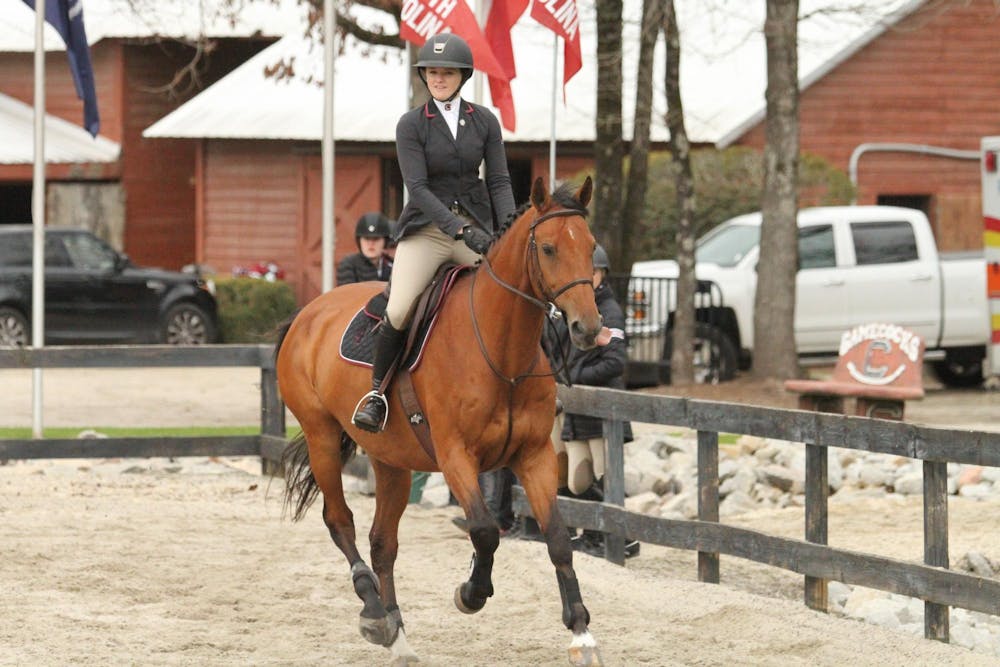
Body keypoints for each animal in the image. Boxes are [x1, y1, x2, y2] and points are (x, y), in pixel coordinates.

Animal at [274, 177, 600, 667]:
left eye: (591, 247)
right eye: (547, 248)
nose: (587, 328)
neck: (502, 350)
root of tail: (309, 312)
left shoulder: (534, 455)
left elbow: (558, 537)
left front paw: (581, 632)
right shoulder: (454, 456)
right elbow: (484, 530)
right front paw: (471, 592)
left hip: (391, 460)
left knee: (382, 541)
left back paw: (397, 635)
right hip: (322, 438)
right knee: (340, 520)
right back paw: (373, 611)